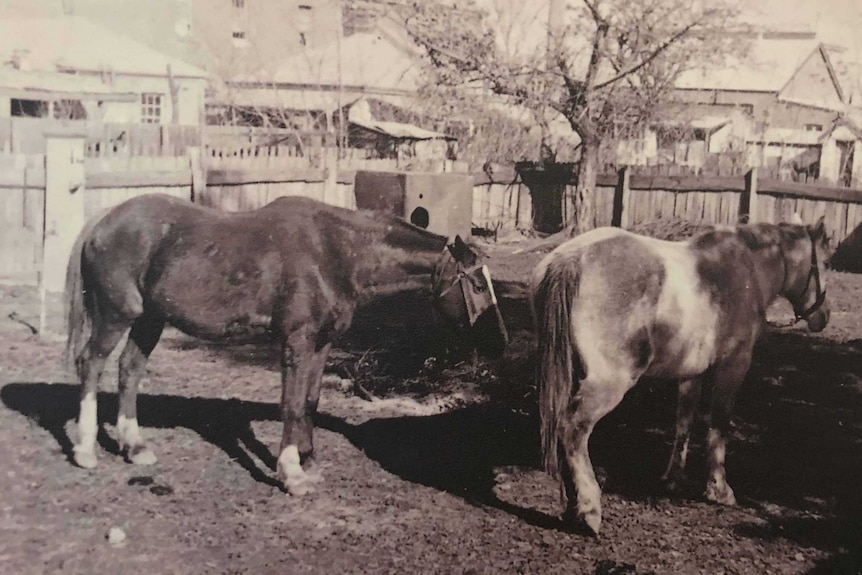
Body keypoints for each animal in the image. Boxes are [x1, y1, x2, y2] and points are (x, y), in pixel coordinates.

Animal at [67, 194, 510, 496]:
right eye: (476, 285)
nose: (501, 343)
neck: (333, 251)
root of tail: (102, 222)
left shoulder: (322, 344)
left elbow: (309, 402)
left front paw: (307, 458)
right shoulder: (297, 341)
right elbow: (292, 404)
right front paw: (291, 473)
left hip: (150, 320)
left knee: (129, 370)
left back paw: (134, 445)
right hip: (117, 315)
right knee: (91, 363)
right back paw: (86, 450)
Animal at [528, 216, 832, 536]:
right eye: (825, 262)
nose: (822, 316)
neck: (745, 270)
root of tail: (571, 259)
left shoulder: (691, 374)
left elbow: (684, 421)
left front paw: (674, 477)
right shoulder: (733, 366)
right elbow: (719, 425)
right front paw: (718, 489)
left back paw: (572, 507)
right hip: (608, 384)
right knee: (573, 429)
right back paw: (588, 511)